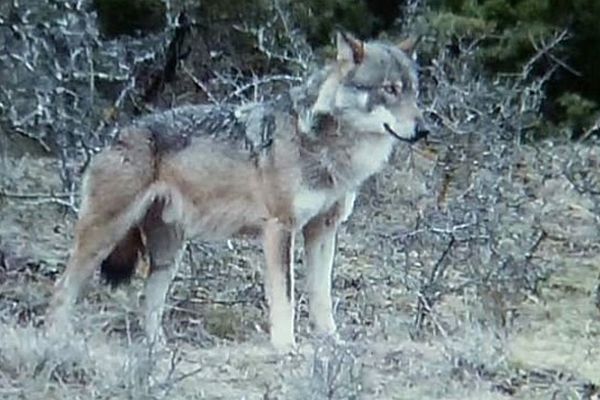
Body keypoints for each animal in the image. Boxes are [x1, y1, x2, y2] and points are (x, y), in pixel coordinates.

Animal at [49, 32, 428, 350]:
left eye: (414, 91)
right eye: (390, 89)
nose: (424, 129)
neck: (326, 145)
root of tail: (112, 138)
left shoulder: (324, 230)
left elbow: (322, 296)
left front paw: (333, 343)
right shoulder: (280, 228)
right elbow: (285, 298)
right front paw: (286, 348)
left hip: (168, 253)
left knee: (148, 301)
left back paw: (158, 352)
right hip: (105, 236)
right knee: (62, 289)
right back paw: (59, 342)